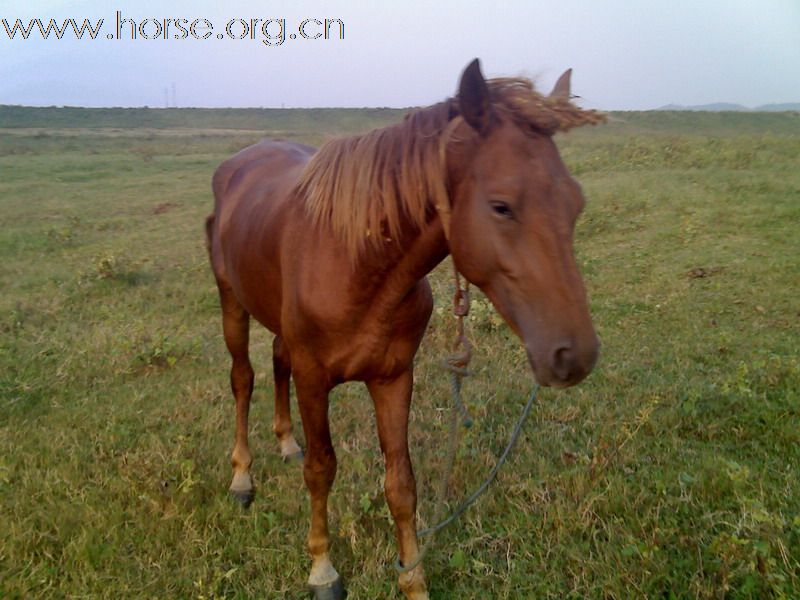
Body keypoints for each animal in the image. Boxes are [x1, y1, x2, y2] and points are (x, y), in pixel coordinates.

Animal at [209, 58, 604, 596]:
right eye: (501, 205)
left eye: (576, 202)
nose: (574, 356)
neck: (357, 262)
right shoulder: (314, 379)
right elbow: (321, 468)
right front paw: (323, 568)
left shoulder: (394, 376)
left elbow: (401, 483)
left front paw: (413, 578)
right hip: (232, 303)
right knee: (243, 379)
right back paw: (242, 478)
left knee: (275, 360)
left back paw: (286, 441)